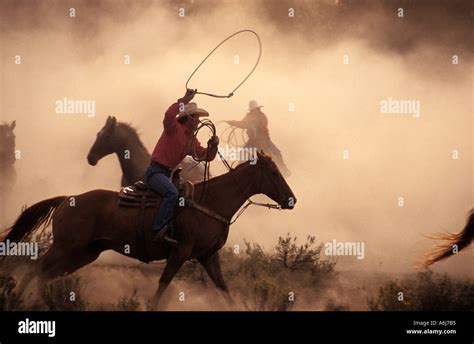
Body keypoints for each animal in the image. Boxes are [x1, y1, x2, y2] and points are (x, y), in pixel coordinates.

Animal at [4, 152, 296, 308]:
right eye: (273, 172)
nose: (291, 199)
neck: (210, 202)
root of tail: (67, 199)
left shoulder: (208, 256)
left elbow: (224, 289)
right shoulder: (180, 252)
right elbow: (162, 286)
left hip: (83, 253)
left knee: (45, 274)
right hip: (64, 247)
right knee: (36, 269)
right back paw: (18, 298)